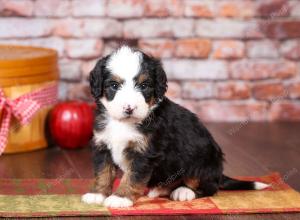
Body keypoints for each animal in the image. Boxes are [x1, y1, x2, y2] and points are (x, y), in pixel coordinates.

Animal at [81, 46, 268, 208]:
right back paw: (160, 189)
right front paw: (97, 194)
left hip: (202, 158)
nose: (129, 108)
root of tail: (219, 172)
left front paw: (120, 198)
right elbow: (103, 172)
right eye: (114, 85)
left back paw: (183, 191)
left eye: (144, 86)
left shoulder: (144, 152)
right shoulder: (102, 145)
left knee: (208, 186)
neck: (123, 123)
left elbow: (132, 176)